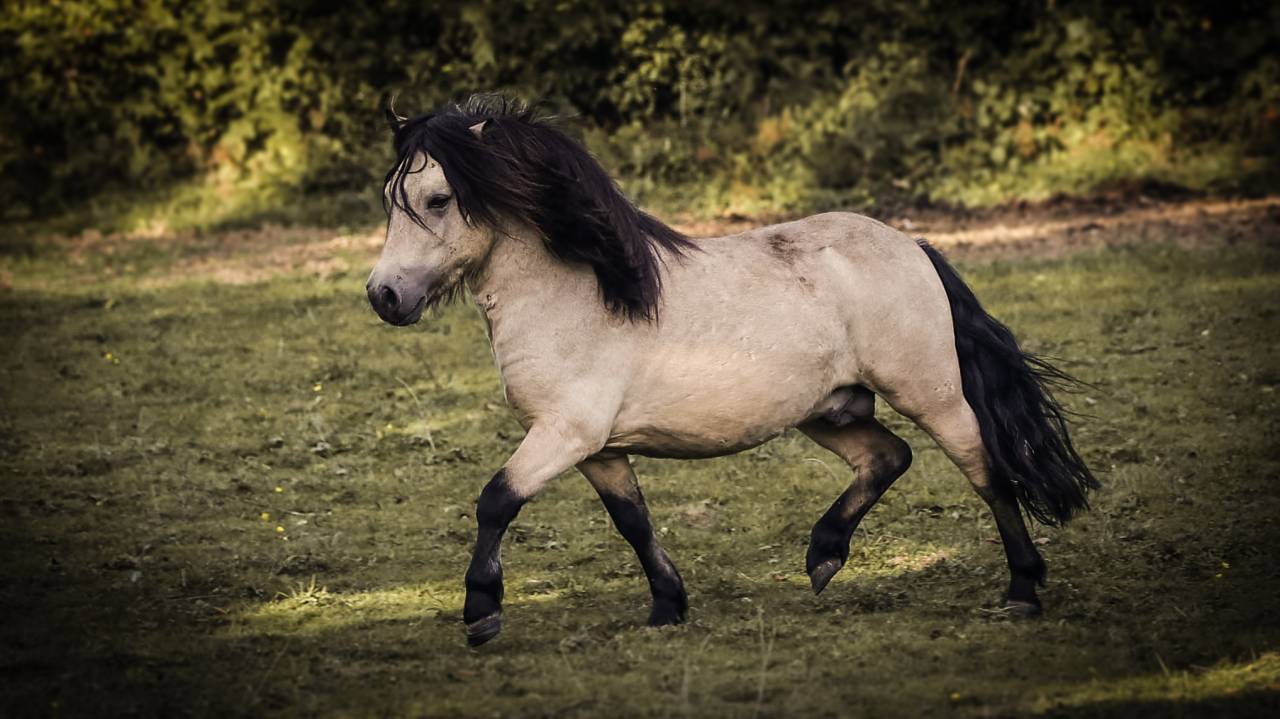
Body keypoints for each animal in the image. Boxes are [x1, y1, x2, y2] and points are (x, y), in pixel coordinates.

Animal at [366, 95, 1098, 647]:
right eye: (390, 201)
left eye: (437, 200)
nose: (383, 296)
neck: (575, 293)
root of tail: (914, 246)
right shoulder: (599, 448)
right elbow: (632, 521)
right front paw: (667, 605)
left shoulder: (565, 433)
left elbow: (496, 499)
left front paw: (480, 611)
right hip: (828, 410)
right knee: (888, 457)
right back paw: (824, 555)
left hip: (933, 395)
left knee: (985, 470)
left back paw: (1022, 588)